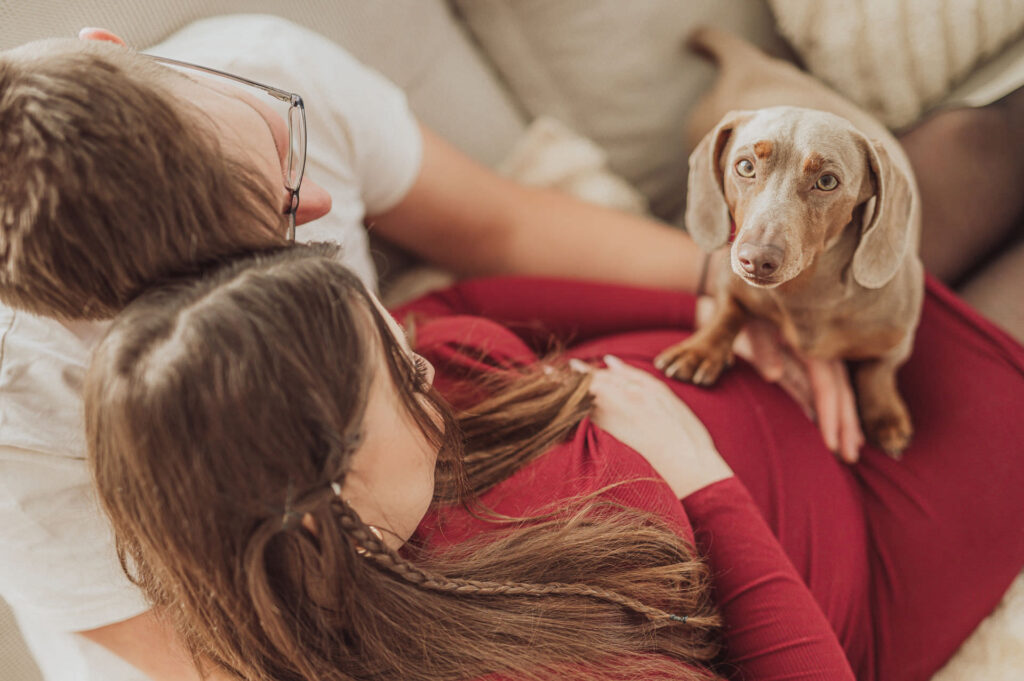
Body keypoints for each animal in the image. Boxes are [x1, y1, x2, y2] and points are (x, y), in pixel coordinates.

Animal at [659, 27, 925, 456]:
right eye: (744, 166)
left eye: (827, 181)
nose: (755, 260)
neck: (805, 294)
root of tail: (748, 60)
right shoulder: (730, 282)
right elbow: (728, 311)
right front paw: (701, 351)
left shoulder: (900, 337)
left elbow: (879, 368)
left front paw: (885, 415)